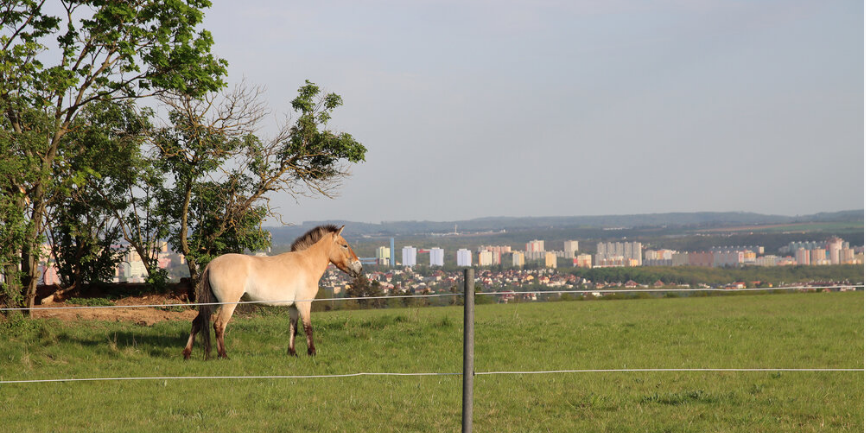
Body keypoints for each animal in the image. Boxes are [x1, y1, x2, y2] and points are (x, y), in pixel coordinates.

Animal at [181, 224, 362, 360]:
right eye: (345, 245)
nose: (359, 268)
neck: (306, 263)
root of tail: (211, 264)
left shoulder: (293, 306)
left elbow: (293, 328)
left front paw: (292, 353)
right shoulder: (304, 304)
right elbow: (308, 328)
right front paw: (312, 352)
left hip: (213, 302)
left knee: (197, 323)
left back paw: (187, 354)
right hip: (227, 304)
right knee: (219, 325)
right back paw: (223, 355)